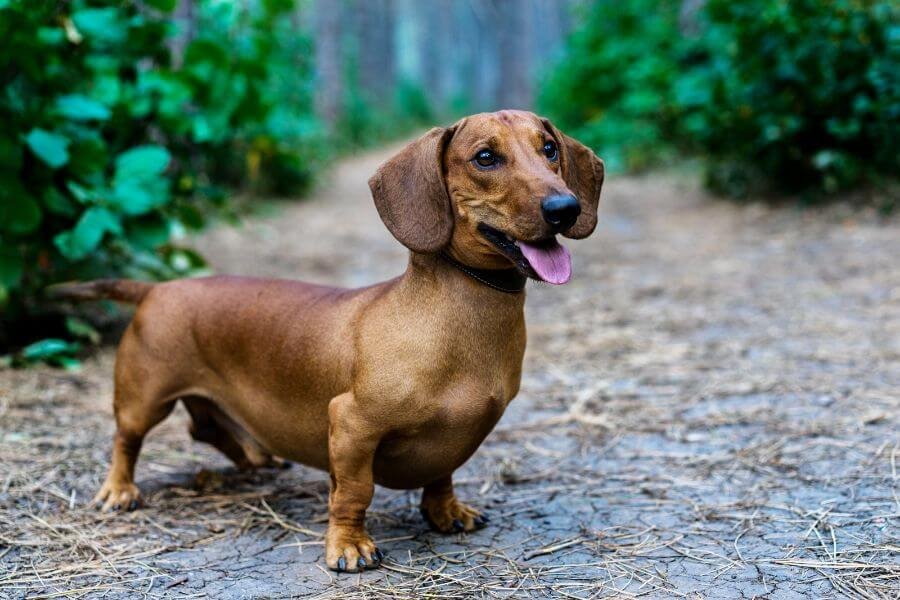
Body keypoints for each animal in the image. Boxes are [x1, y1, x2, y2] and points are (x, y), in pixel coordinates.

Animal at [54, 110, 604, 576]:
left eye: (549, 149)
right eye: (485, 157)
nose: (565, 208)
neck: (453, 318)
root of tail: (158, 288)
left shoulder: (455, 439)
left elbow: (442, 474)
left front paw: (446, 512)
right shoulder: (351, 424)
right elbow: (353, 492)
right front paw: (349, 546)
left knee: (206, 429)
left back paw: (255, 458)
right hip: (144, 399)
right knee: (127, 439)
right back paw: (119, 490)